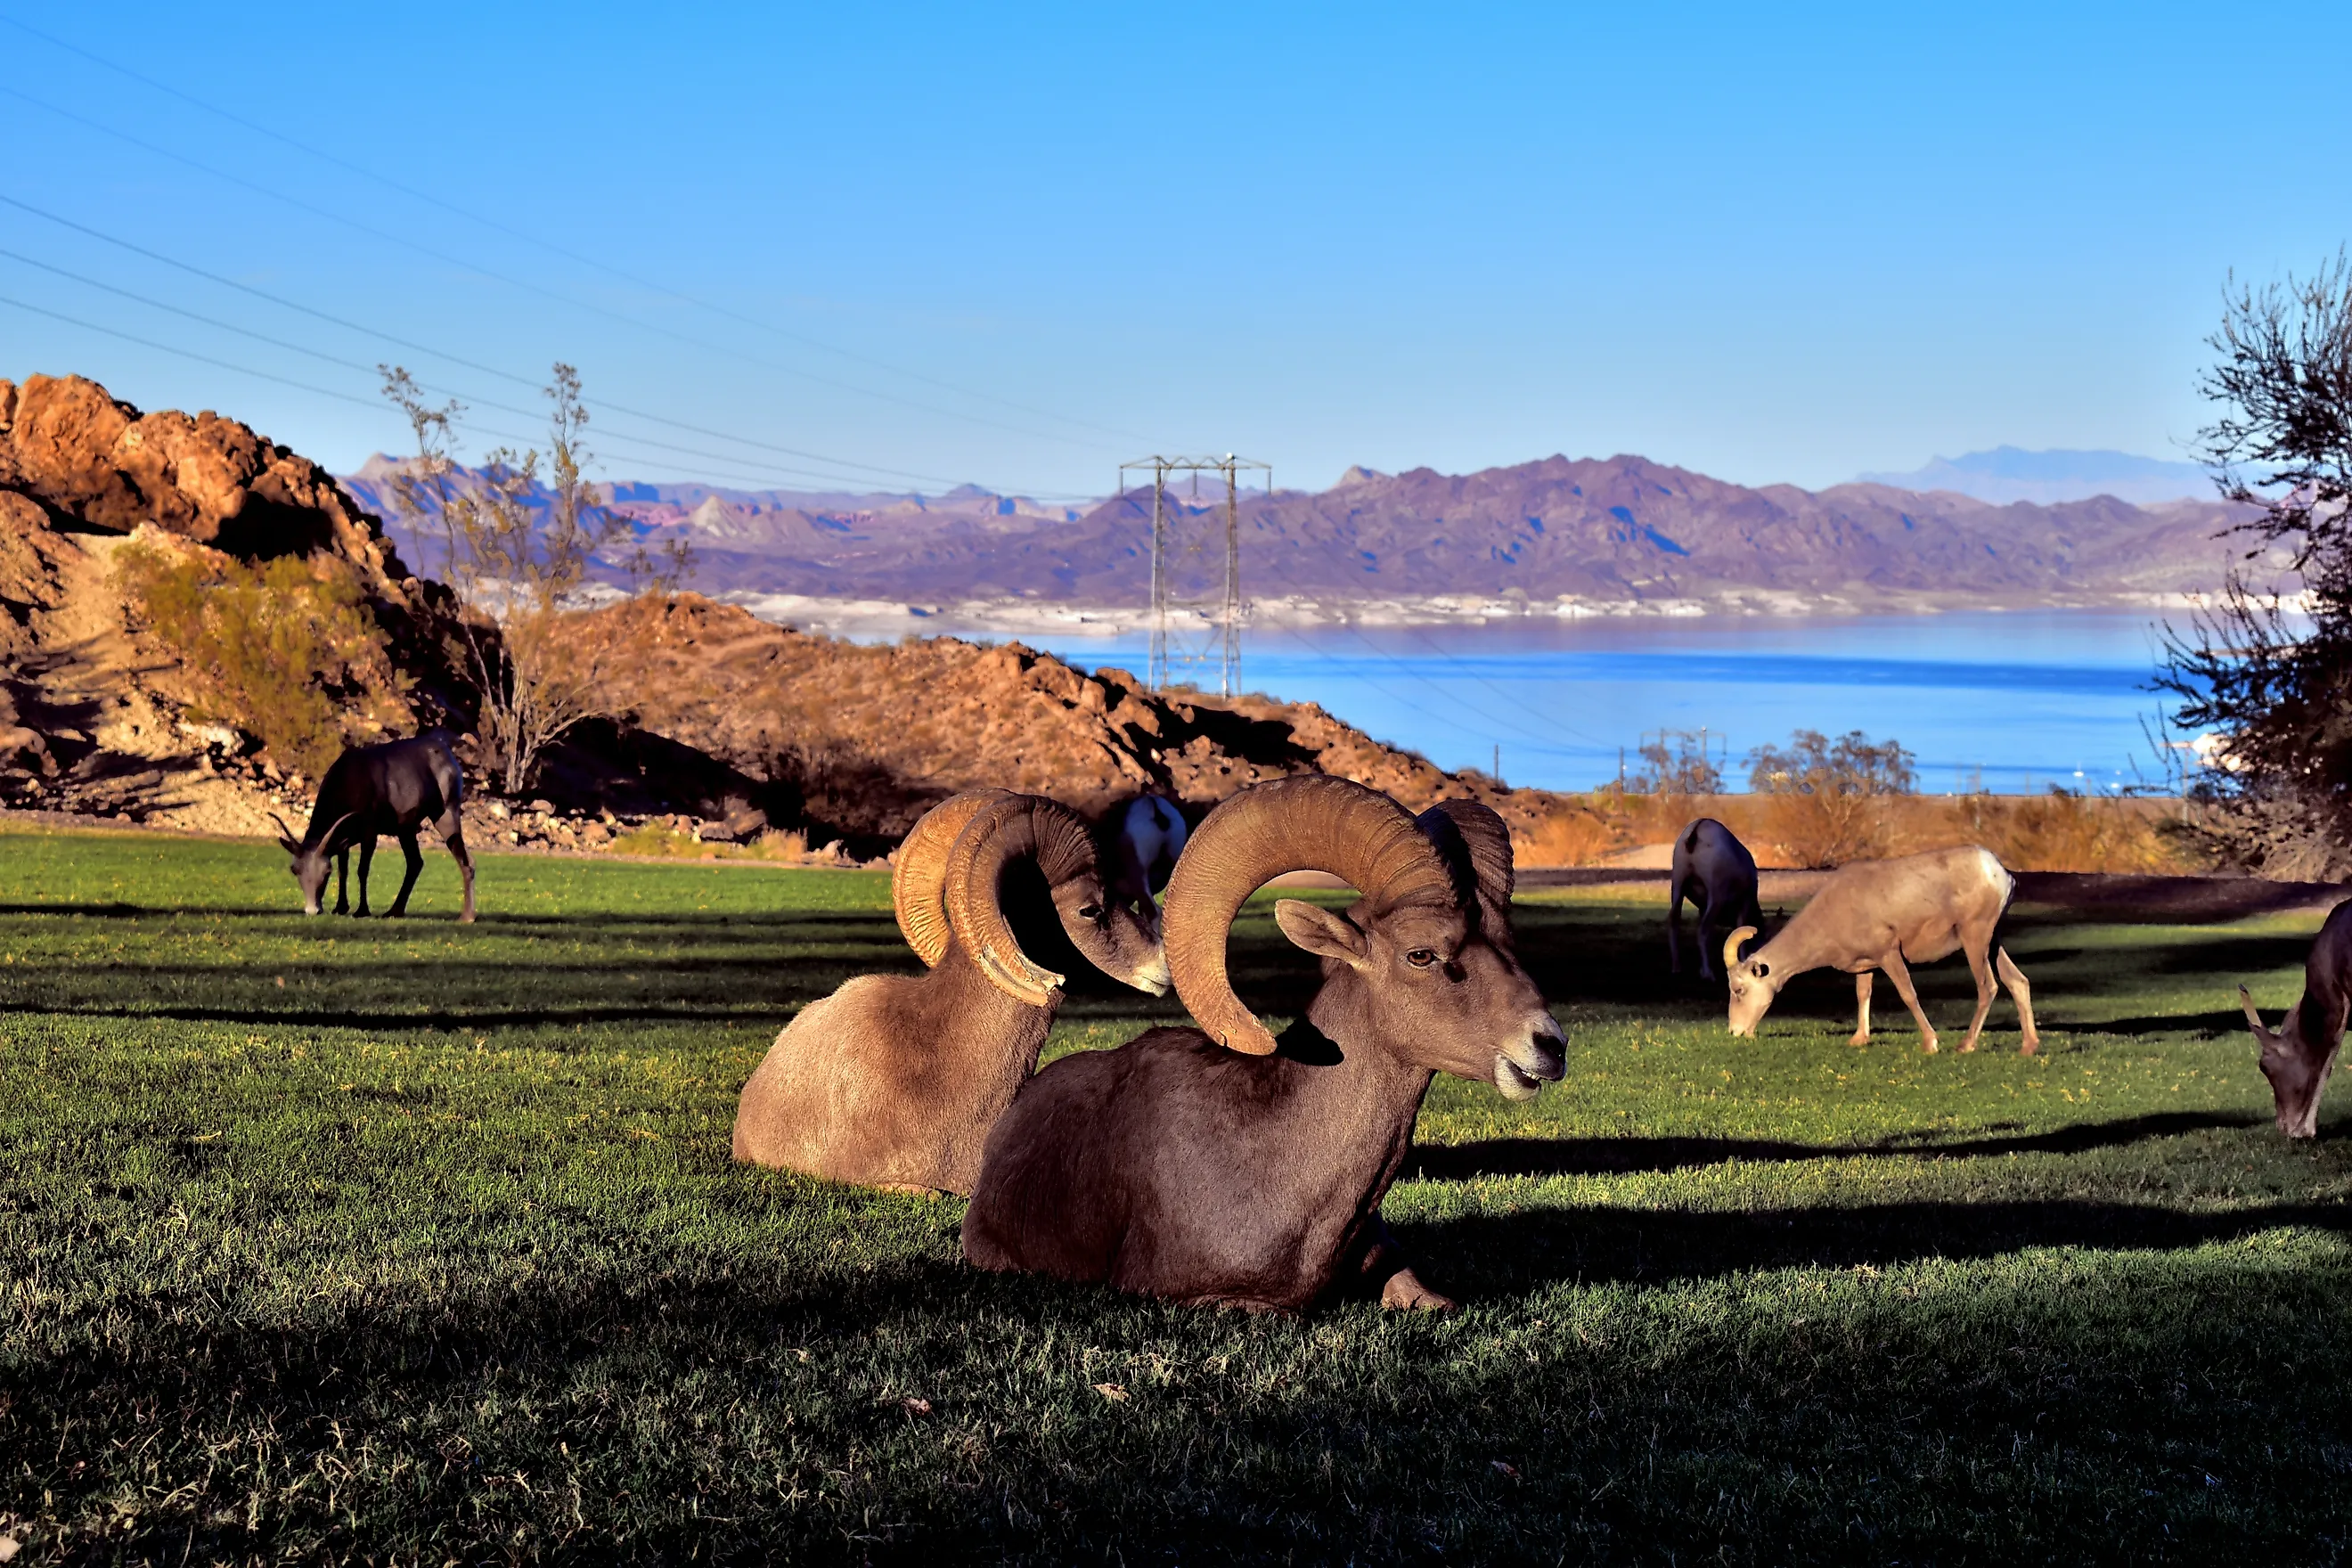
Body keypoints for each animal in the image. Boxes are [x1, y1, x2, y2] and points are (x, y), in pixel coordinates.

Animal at [275, 734, 474, 922]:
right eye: (294, 869)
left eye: (326, 871)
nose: (312, 909)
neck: (347, 786)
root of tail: (450, 757)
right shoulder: (341, 839)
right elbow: (343, 870)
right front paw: (340, 908)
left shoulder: (369, 831)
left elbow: (362, 870)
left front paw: (362, 911)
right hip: (406, 828)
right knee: (415, 862)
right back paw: (395, 911)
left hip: (445, 812)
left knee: (465, 860)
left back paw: (467, 916)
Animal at [1667, 817, 1761, 978]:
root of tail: (1696, 831)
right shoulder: (1745, 901)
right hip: (1716, 894)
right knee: (1703, 930)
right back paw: (1707, 973)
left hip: (1678, 884)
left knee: (1675, 921)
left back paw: (1677, 966)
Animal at [1721, 843, 2037, 1054]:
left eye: (1739, 989)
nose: (1735, 1032)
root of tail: (1998, 872)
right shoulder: (1867, 965)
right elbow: (1863, 995)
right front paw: (1859, 1040)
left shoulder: (1889, 955)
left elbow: (1908, 994)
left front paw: (1930, 1043)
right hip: (1993, 942)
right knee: (2017, 982)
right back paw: (2028, 1047)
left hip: (1975, 939)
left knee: (1988, 987)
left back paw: (1966, 1045)